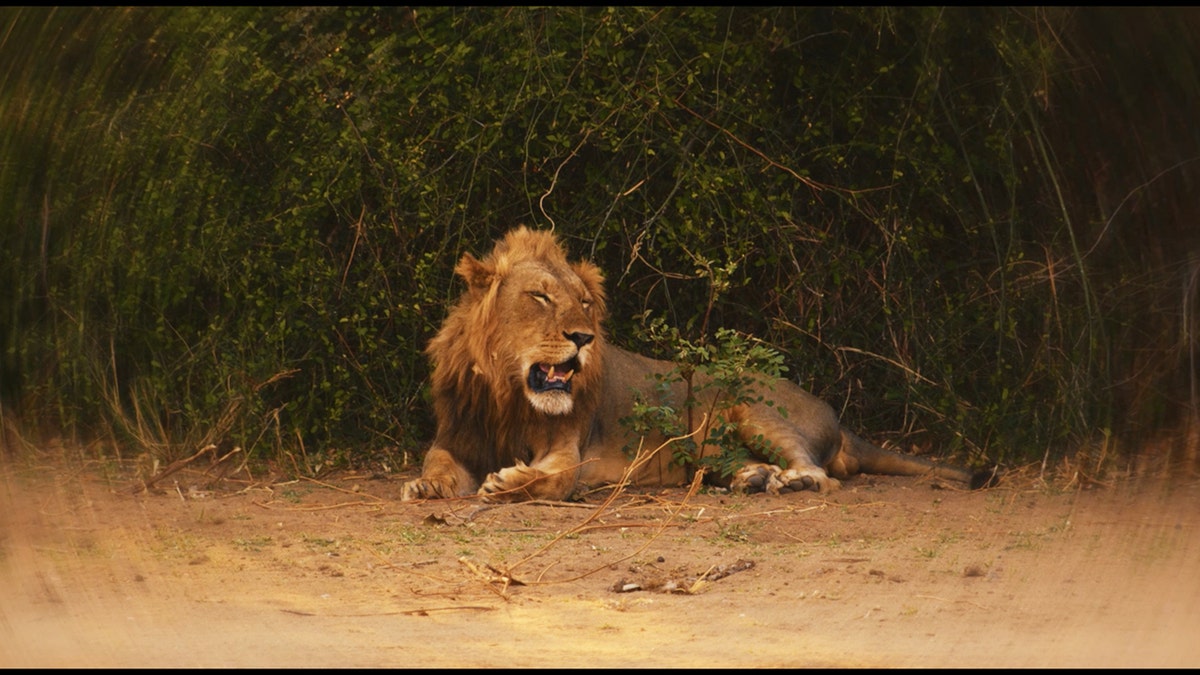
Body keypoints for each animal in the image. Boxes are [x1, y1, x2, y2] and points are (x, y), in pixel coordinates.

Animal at [401, 227, 995, 503]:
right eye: (541, 298)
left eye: (585, 303)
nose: (583, 337)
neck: (507, 396)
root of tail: (841, 421)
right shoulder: (456, 436)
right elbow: (436, 463)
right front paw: (426, 487)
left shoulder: (572, 451)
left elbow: (553, 478)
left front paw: (508, 482)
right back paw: (753, 477)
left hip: (747, 405)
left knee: (823, 474)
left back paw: (790, 481)